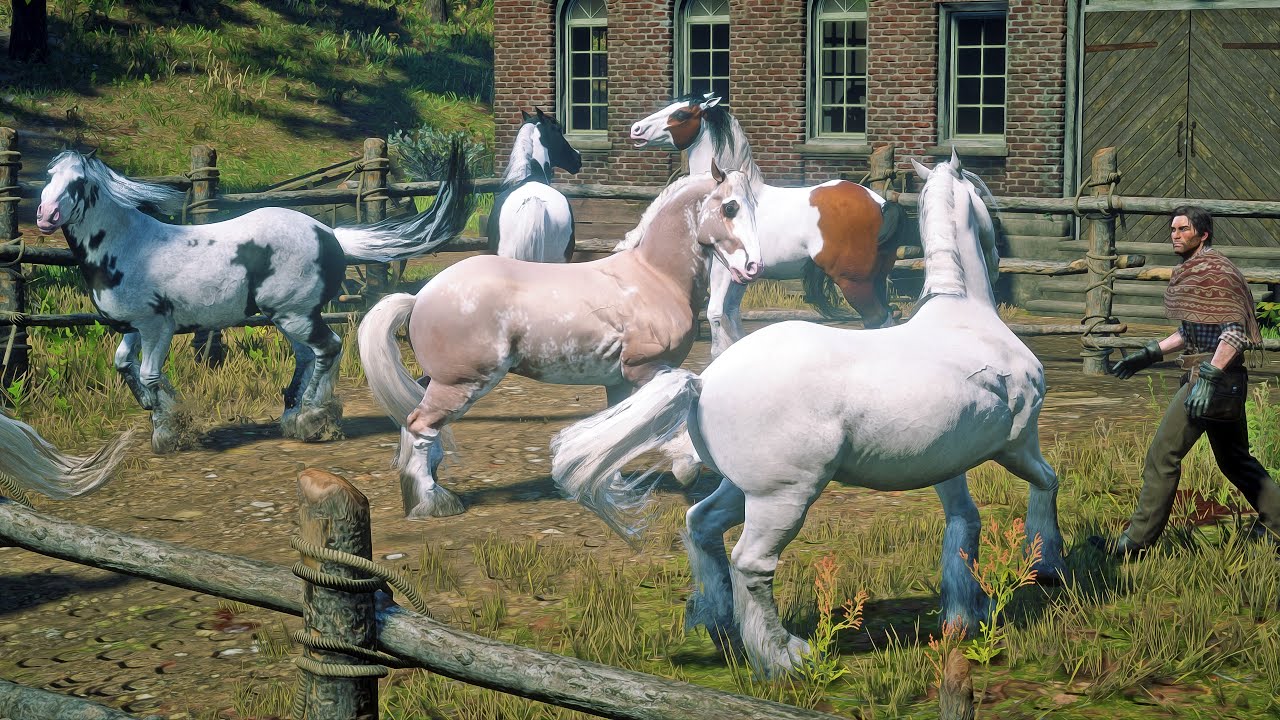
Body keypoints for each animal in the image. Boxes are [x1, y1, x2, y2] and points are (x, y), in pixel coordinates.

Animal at [35, 143, 475, 454]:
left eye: (78, 183)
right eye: (48, 175)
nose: (43, 216)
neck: (130, 248)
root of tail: (329, 234)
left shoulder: (158, 326)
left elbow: (148, 375)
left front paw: (169, 431)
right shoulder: (133, 326)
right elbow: (124, 366)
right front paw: (161, 409)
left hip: (296, 316)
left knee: (329, 348)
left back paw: (313, 417)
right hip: (290, 317)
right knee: (310, 357)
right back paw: (298, 415)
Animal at [359, 165, 762, 519]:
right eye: (730, 207)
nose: (753, 268)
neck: (654, 278)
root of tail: (419, 296)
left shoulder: (618, 380)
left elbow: (618, 426)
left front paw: (612, 482)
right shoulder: (646, 370)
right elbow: (675, 409)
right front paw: (685, 468)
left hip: (442, 380)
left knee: (412, 415)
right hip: (462, 384)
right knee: (420, 425)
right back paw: (432, 502)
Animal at [551, 152, 1067, 678]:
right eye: (983, 202)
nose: (999, 253)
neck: (967, 319)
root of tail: (703, 384)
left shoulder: (948, 462)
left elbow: (965, 524)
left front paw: (966, 613)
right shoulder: (1018, 443)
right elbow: (1047, 482)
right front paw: (1045, 563)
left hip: (743, 490)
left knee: (702, 526)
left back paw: (721, 627)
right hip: (783, 498)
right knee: (751, 563)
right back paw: (785, 658)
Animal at [627, 92, 908, 356]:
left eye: (682, 113)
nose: (636, 129)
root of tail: (880, 203)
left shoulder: (721, 271)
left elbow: (716, 315)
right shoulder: (740, 276)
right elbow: (732, 318)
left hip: (855, 283)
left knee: (876, 320)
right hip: (876, 279)